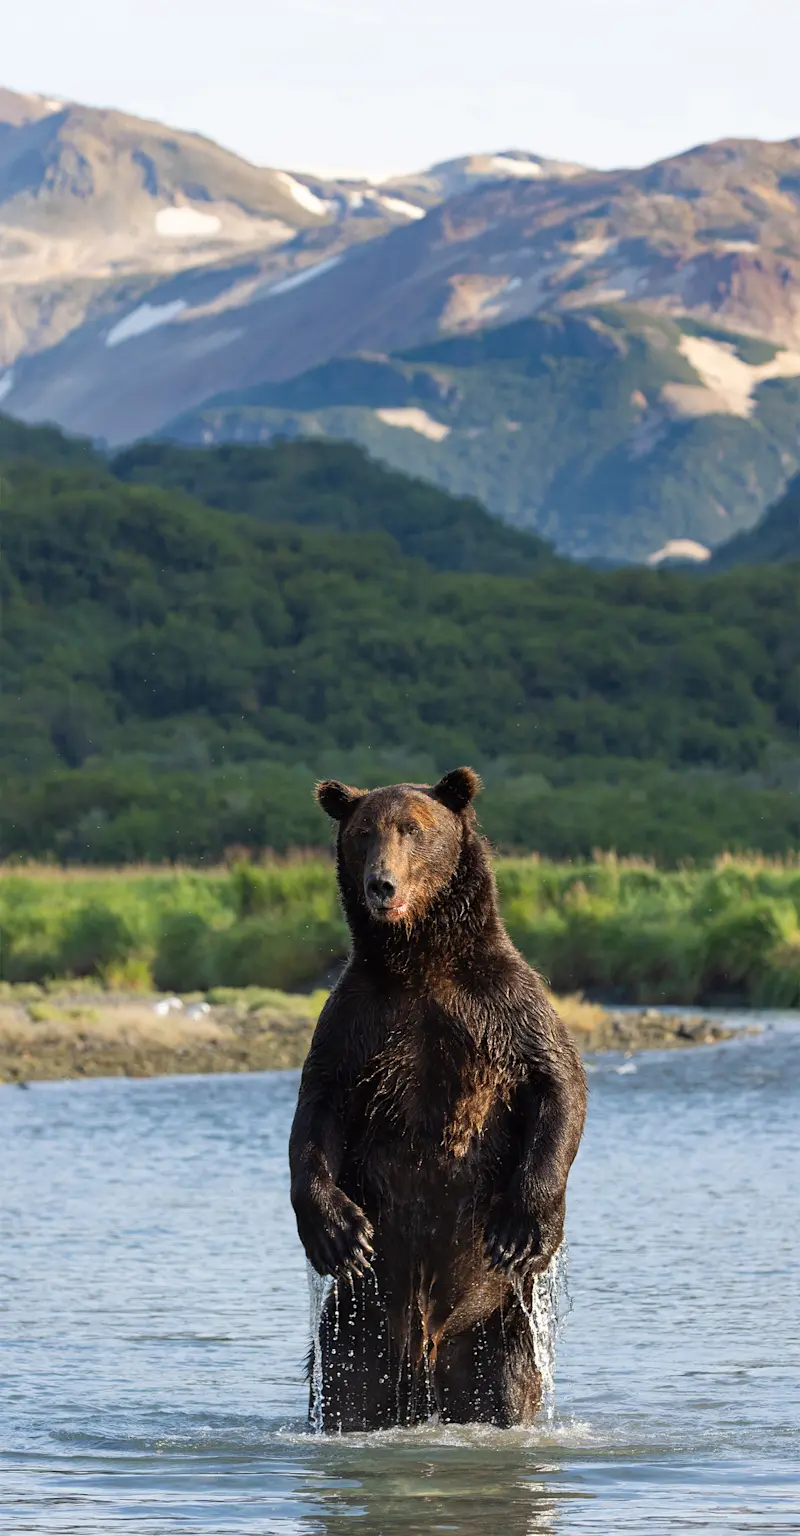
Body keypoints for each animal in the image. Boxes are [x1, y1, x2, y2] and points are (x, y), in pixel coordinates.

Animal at [289, 768, 586, 1430]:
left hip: (496, 1329)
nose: (381, 884)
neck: (419, 959)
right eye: (363, 832)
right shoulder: (356, 1022)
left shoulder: (501, 1006)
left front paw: (526, 1226)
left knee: (507, 1389)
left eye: (413, 829)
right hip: (355, 1331)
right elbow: (316, 1111)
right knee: (346, 1392)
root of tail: (425, 1359)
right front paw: (338, 1234)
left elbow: (559, 1084)